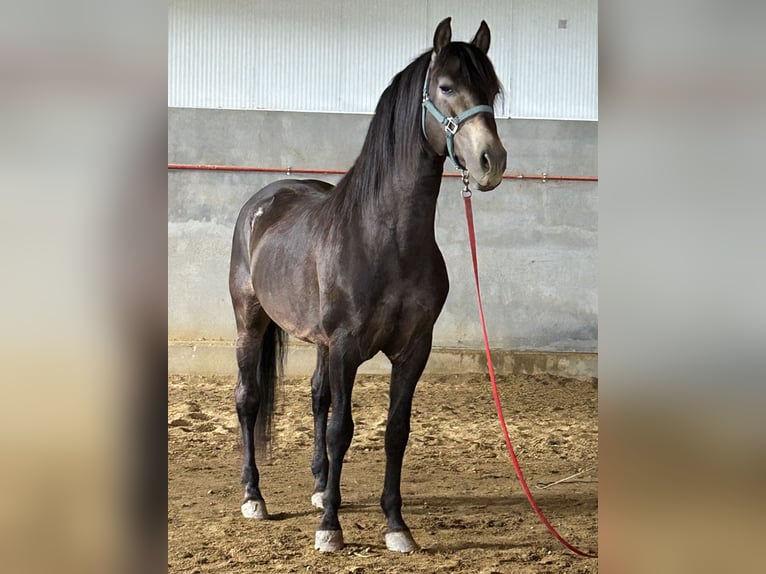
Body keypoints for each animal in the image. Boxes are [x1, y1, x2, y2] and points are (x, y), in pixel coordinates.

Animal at [231, 18, 508, 556]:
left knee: (317, 398)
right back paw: (254, 497)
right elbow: (343, 429)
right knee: (248, 400)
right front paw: (330, 528)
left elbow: (395, 431)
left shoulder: (413, 349)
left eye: (493, 90)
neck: (387, 238)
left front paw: (396, 526)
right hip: (249, 321)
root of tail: (264, 200)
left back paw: (320, 486)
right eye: (446, 87)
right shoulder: (346, 347)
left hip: (318, 342)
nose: (492, 161)